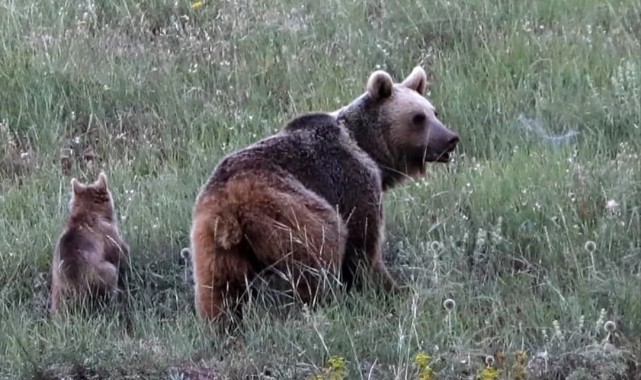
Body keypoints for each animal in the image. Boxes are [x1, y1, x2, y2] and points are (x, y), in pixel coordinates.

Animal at [188, 64, 458, 326]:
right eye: (418, 117)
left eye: (434, 112)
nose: (450, 139)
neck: (367, 148)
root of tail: (230, 203)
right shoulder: (350, 180)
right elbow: (363, 244)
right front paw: (391, 288)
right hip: (288, 209)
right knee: (320, 252)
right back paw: (325, 302)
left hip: (211, 242)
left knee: (219, 288)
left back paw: (223, 325)